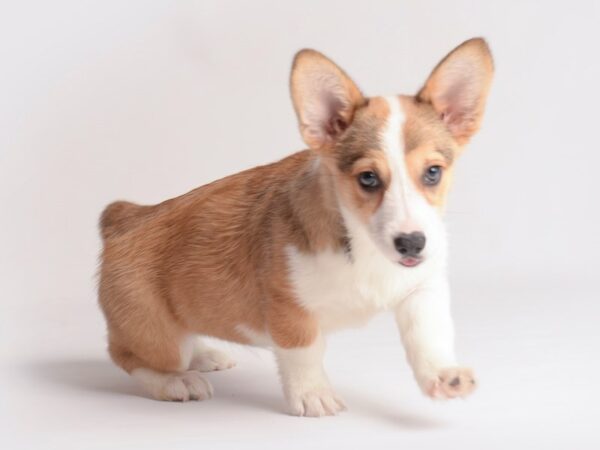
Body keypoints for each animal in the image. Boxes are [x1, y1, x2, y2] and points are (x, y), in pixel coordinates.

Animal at [97, 38, 492, 418]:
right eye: (368, 178)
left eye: (433, 172)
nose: (411, 243)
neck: (363, 247)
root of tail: (124, 218)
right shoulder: (289, 308)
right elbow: (304, 352)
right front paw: (314, 395)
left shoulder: (422, 289)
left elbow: (428, 336)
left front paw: (443, 376)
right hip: (158, 337)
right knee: (127, 355)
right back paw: (176, 381)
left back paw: (205, 353)